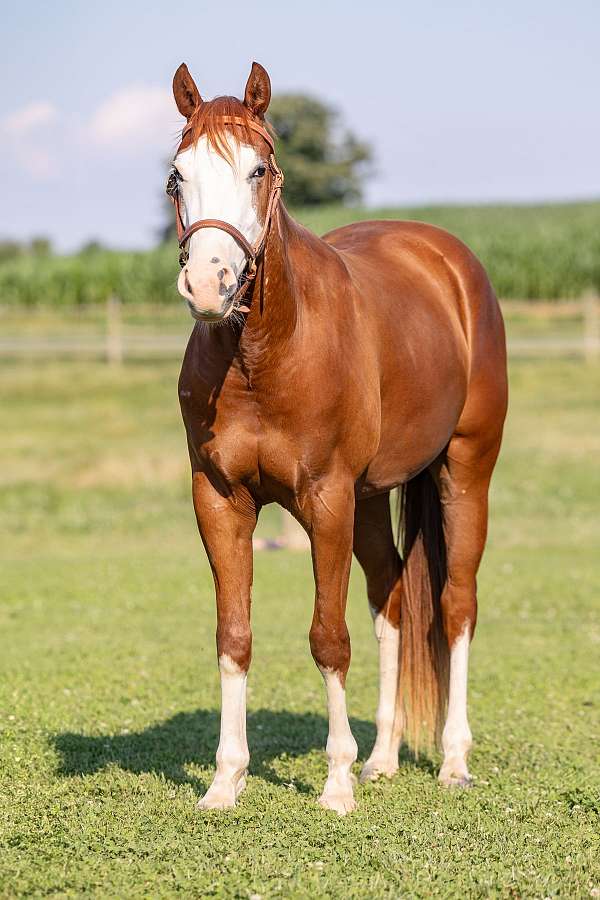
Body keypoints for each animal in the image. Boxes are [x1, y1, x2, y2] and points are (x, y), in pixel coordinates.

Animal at [168, 59, 506, 812]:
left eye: (260, 169)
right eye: (177, 175)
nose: (209, 285)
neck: (264, 355)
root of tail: (448, 261)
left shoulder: (324, 502)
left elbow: (328, 638)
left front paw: (336, 786)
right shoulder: (221, 501)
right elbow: (233, 636)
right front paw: (226, 782)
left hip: (464, 472)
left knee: (456, 606)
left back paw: (452, 761)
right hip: (372, 500)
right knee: (392, 601)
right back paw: (383, 759)